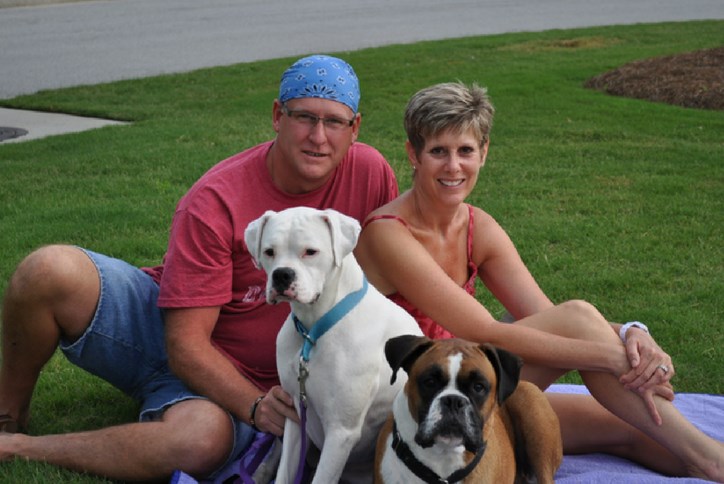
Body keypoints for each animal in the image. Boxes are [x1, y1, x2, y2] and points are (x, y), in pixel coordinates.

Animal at [246, 206, 422, 482]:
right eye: (269, 251)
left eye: (310, 251)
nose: (282, 274)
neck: (313, 331)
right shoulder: (295, 415)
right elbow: (285, 473)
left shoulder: (341, 432)